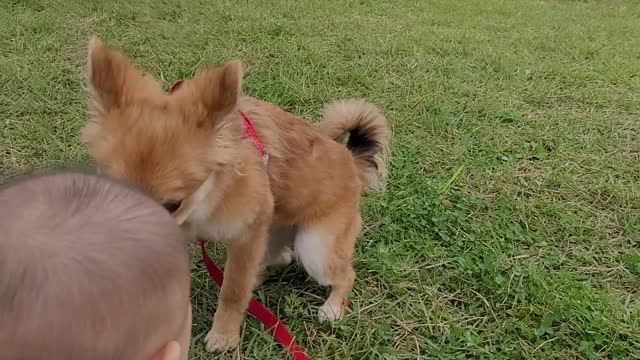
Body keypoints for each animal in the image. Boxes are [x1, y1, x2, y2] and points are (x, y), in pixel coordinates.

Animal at [82, 38, 388, 352]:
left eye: (173, 204)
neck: (206, 202)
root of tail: (352, 162)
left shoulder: (246, 236)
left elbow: (233, 291)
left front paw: (224, 335)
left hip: (316, 247)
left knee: (345, 274)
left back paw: (333, 307)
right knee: (281, 258)